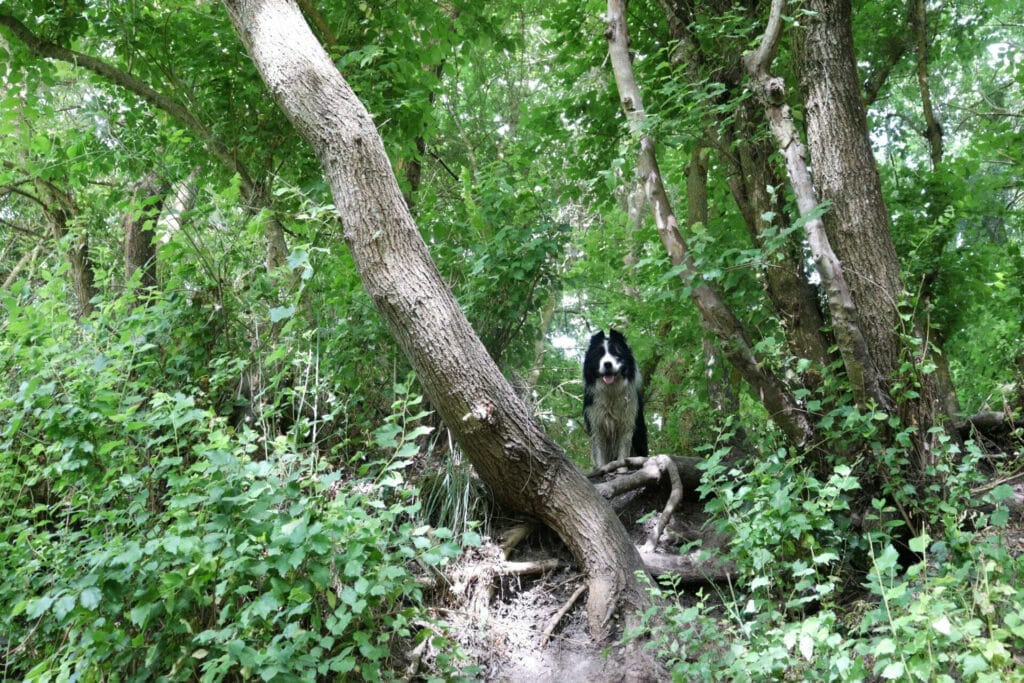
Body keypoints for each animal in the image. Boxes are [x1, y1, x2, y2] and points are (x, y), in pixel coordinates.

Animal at [585, 327, 647, 466]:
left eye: (616, 354)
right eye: (599, 354)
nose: (607, 364)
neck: (611, 391)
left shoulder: (628, 423)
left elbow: (623, 454)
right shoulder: (596, 425)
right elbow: (600, 456)